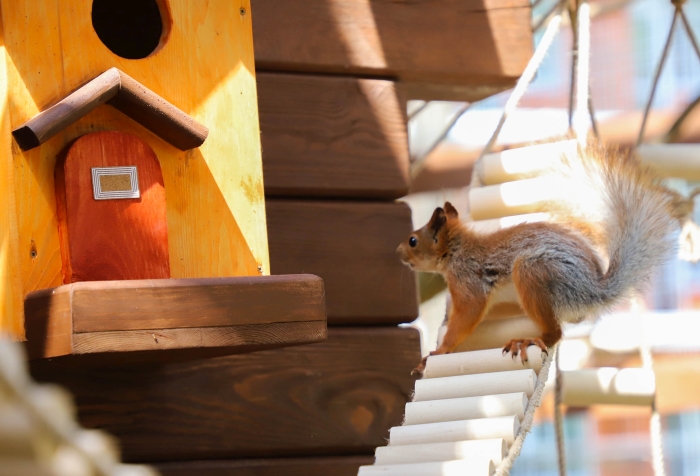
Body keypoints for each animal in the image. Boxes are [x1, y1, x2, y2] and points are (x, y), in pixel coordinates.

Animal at [402, 142, 680, 376]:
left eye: (413, 240)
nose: (399, 252)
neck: (456, 250)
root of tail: (595, 292)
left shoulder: (468, 281)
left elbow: (466, 316)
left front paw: (439, 351)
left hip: (534, 272)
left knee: (555, 333)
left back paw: (529, 340)